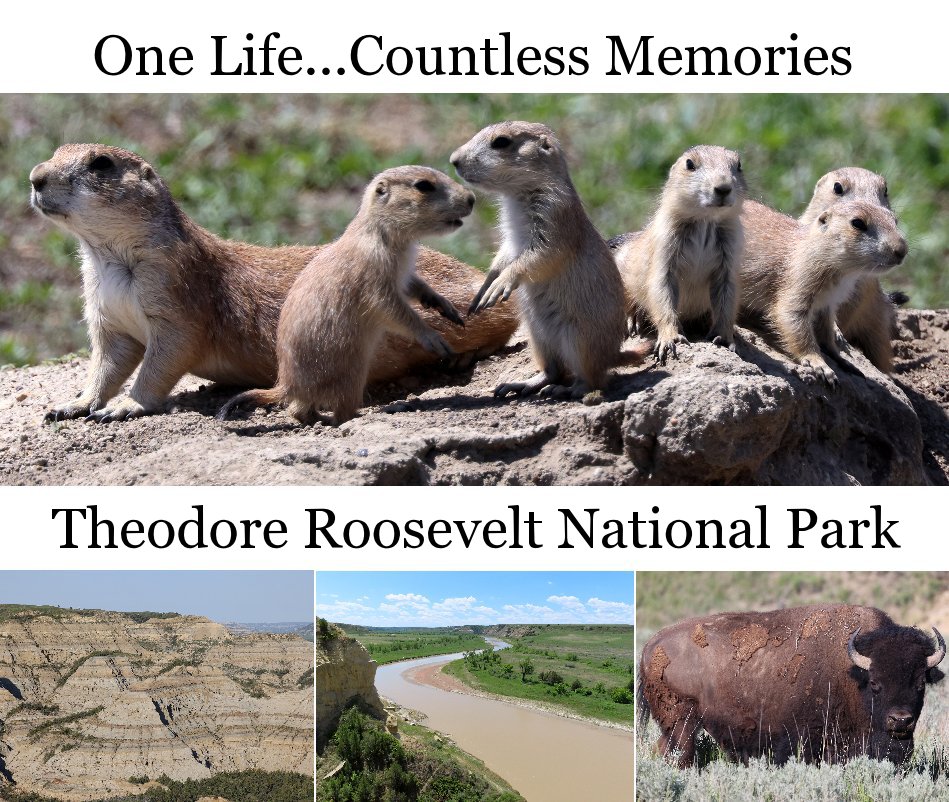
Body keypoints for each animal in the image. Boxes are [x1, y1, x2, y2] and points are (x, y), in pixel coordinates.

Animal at [640, 604, 944, 764]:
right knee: (680, 754)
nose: (900, 720)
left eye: (920, 683)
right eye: (876, 683)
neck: (854, 673)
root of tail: (652, 643)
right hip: (682, 722)